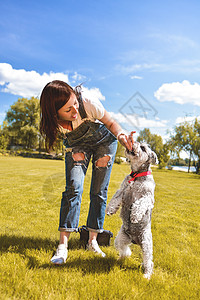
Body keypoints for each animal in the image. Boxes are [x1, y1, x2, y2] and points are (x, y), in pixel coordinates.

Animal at [105, 142, 159, 280]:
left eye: (143, 148)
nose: (134, 143)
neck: (137, 175)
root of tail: (135, 241)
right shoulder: (123, 190)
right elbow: (115, 198)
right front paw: (110, 209)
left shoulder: (147, 197)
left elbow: (140, 204)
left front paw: (135, 215)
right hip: (120, 239)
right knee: (125, 250)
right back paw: (121, 258)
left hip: (146, 245)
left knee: (148, 262)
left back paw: (146, 275)